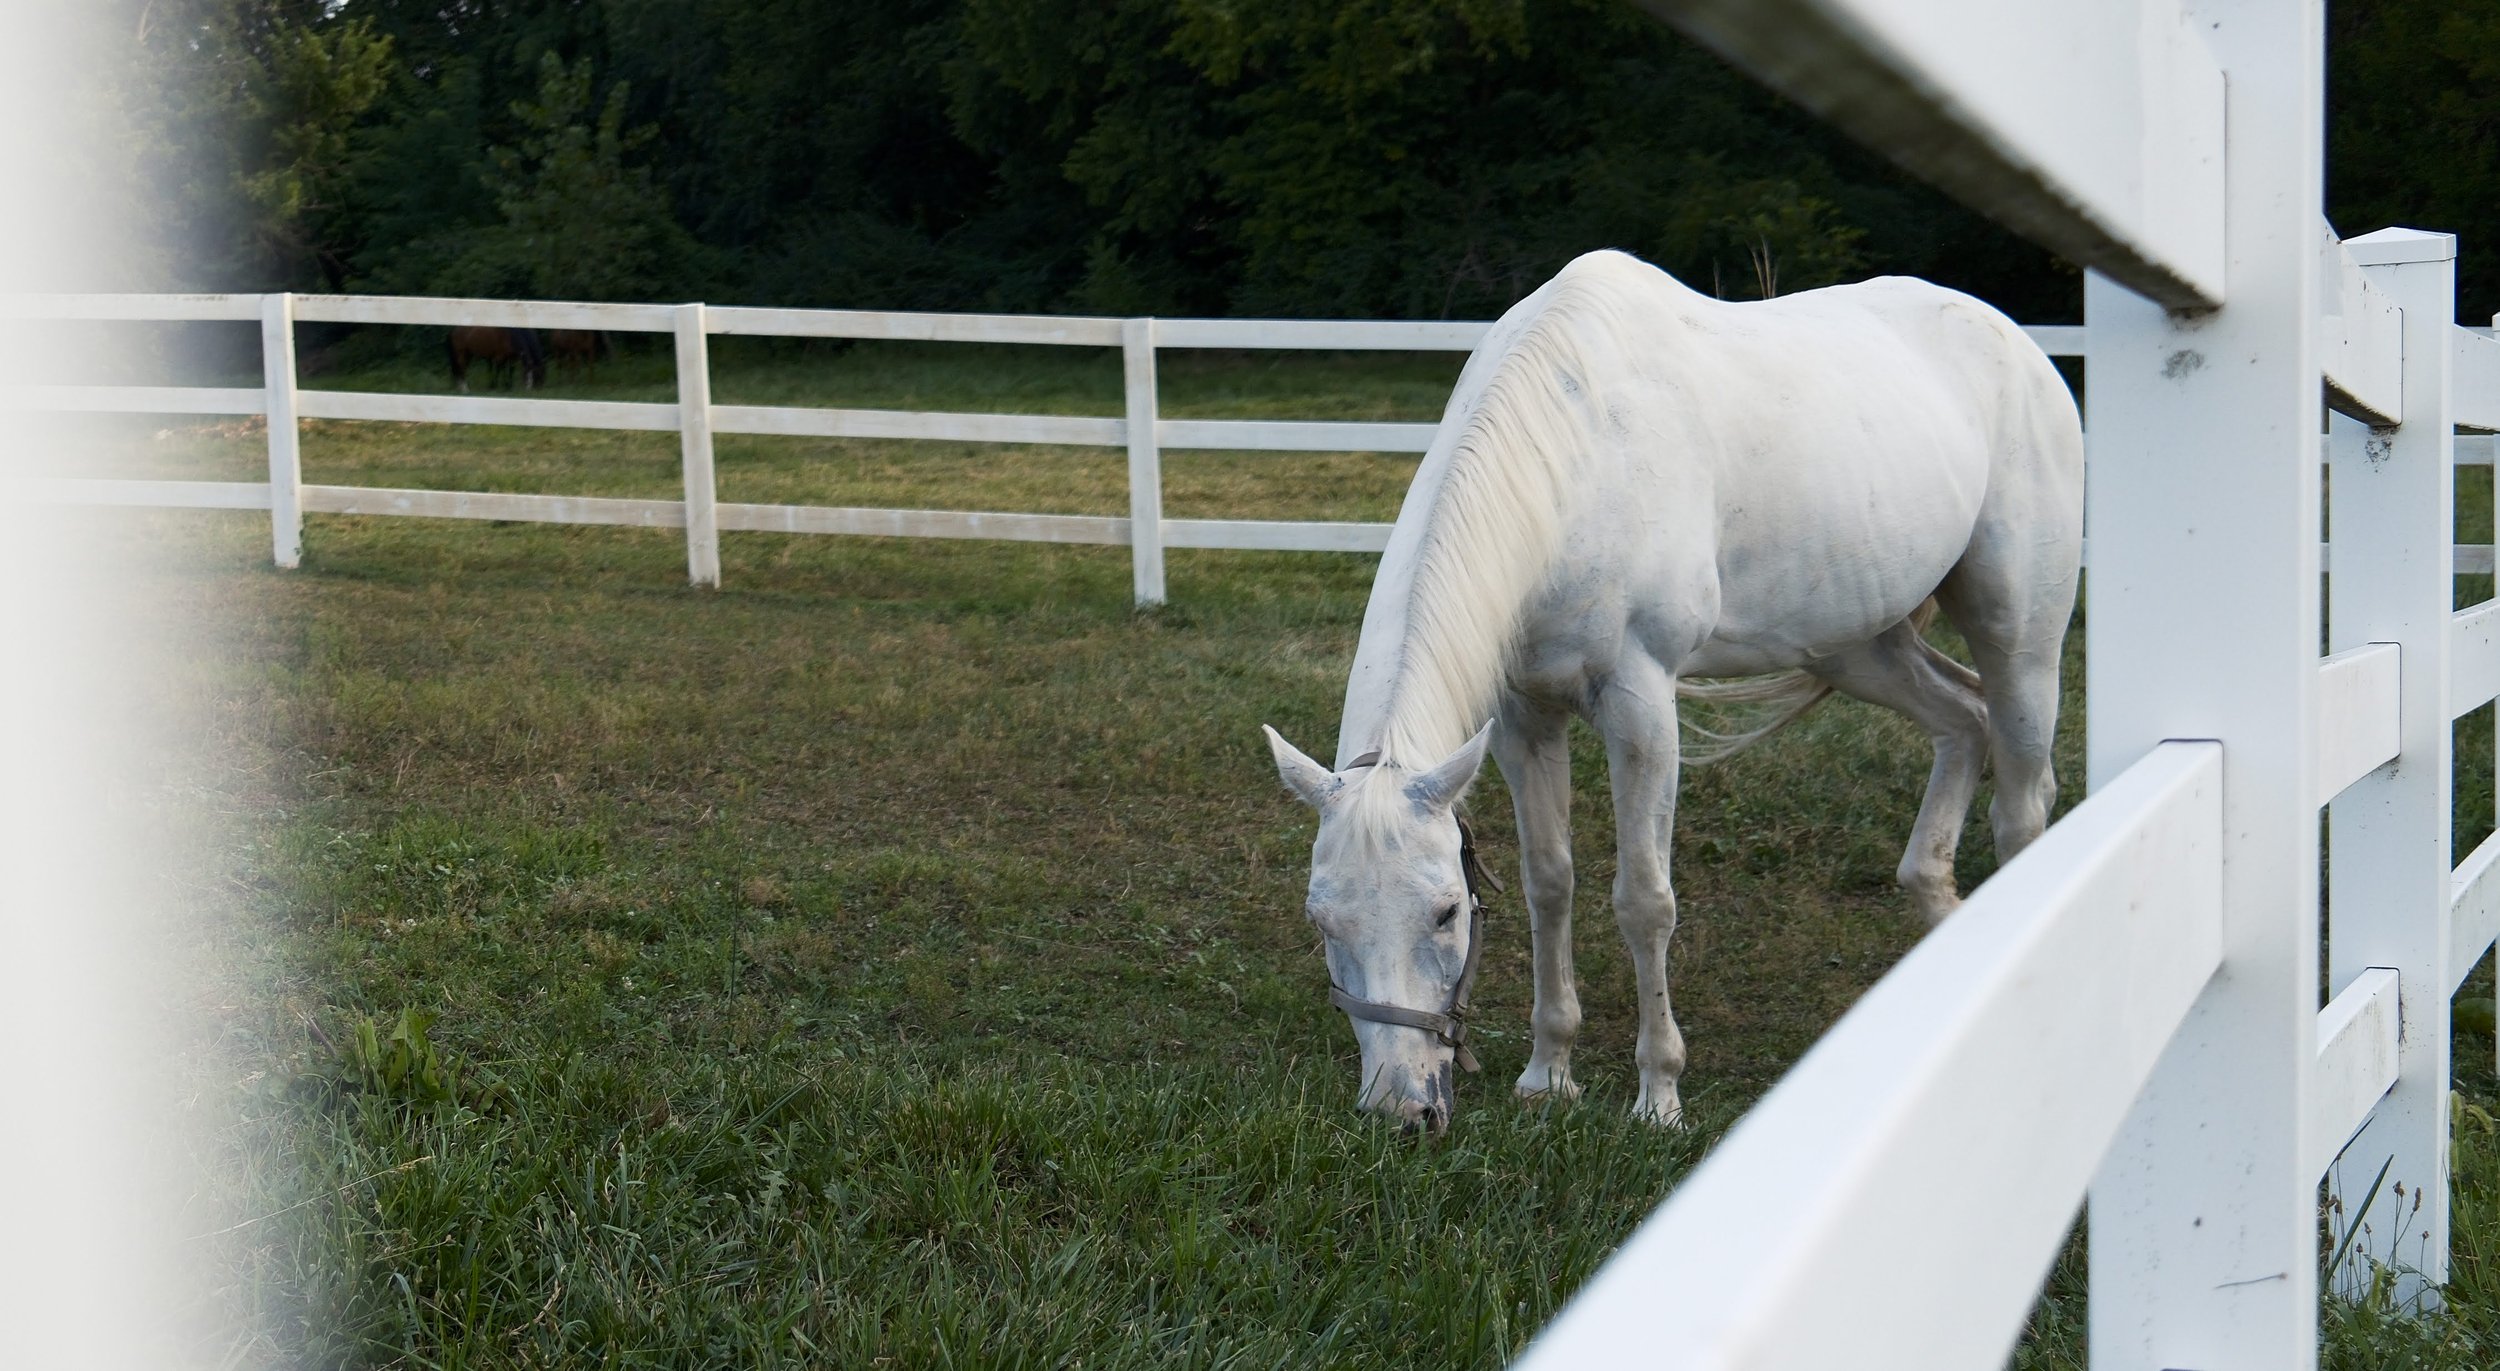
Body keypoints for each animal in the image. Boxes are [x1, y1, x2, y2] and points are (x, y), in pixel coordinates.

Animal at [1260, 250, 2082, 1135]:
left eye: (1446, 909)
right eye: (1320, 919)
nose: (1399, 1108)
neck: (1574, 456)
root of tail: (2022, 349)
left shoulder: (1641, 704)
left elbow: (1644, 900)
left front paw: (1658, 1094)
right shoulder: (1524, 719)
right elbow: (1550, 882)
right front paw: (1548, 1071)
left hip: (2019, 638)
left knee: (2022, 803)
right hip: (1860, 643)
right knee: (1963, 721)